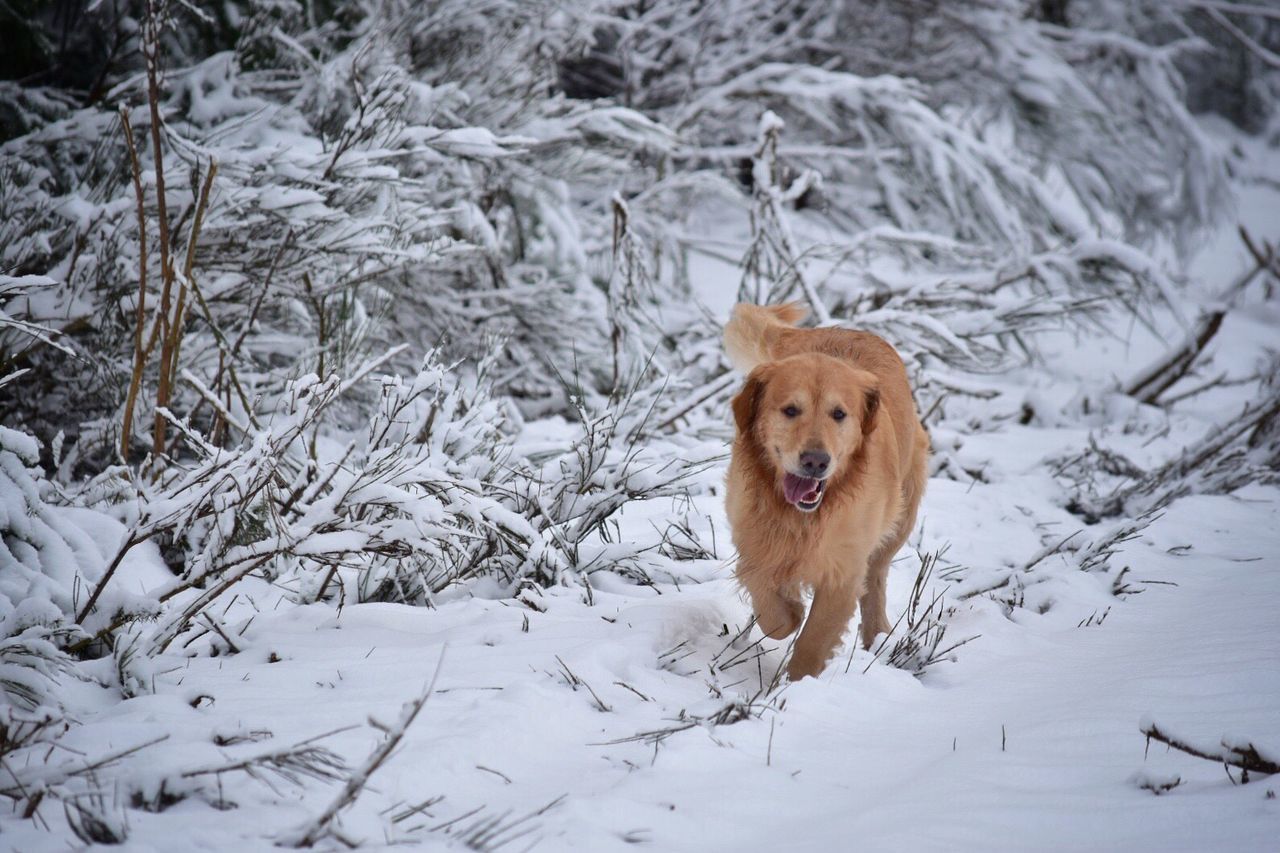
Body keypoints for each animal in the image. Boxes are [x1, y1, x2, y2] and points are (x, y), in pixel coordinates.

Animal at [727, 298, 926, 676]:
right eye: (791, 410)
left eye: (839, 414)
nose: (816, 461)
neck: (804, 516)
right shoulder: (754, 540)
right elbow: (771, 607)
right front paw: (791, 609)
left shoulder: (842, 570)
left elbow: (813, 641)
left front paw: (798, 683)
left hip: (901, 518)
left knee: (876, 578)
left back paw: (879, 637)